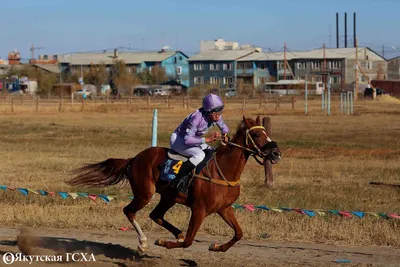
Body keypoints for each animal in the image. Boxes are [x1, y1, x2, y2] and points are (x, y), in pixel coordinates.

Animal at [67, 115, 282, 253]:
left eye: (265, 132)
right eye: (256, 135)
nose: (276, 153)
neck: (223, 170)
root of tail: (134, 158)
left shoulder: (224, 208)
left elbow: (239, 233)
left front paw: (216, 246)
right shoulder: (199, 209)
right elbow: (188, 241)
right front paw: (163, 242)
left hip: (168, 197)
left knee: (156, 215)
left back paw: (175, 233)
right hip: (145, 194)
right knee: (129, 211)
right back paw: (143, 243)